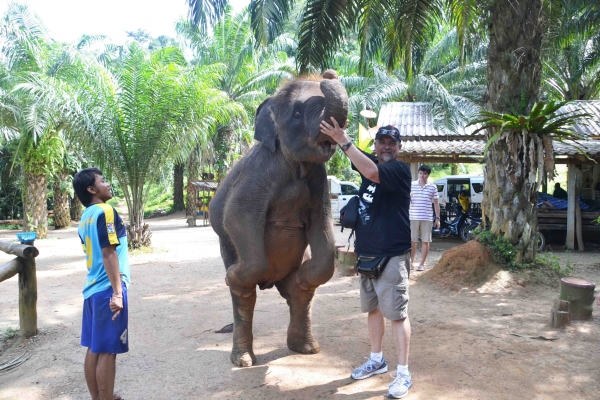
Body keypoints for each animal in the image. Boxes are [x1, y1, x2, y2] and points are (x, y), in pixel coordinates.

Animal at [210, 70, 350, 368]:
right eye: (296, 113)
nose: (329, 73)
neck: (296, 167)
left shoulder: (319, 182)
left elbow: (322, 225)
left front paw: (306, 273)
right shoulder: (259, 170)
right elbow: (236, 214)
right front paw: (231, 275)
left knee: (298, 293)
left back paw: (306, 346)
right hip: (228, 250)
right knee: (245, 295)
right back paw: (243, 359)